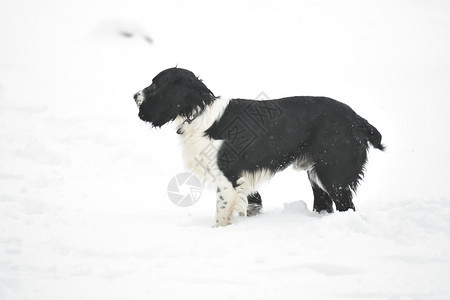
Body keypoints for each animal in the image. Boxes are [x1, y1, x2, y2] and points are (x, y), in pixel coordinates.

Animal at [133, 68, 384, 226]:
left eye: (154, 84)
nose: (134, 95)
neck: (201, 113)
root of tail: (359, 120)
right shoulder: (245, 178)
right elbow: (252, 202)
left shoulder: (228, 178)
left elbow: (221, 215)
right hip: (316, 174)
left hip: (332, 174)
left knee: (346, 206)